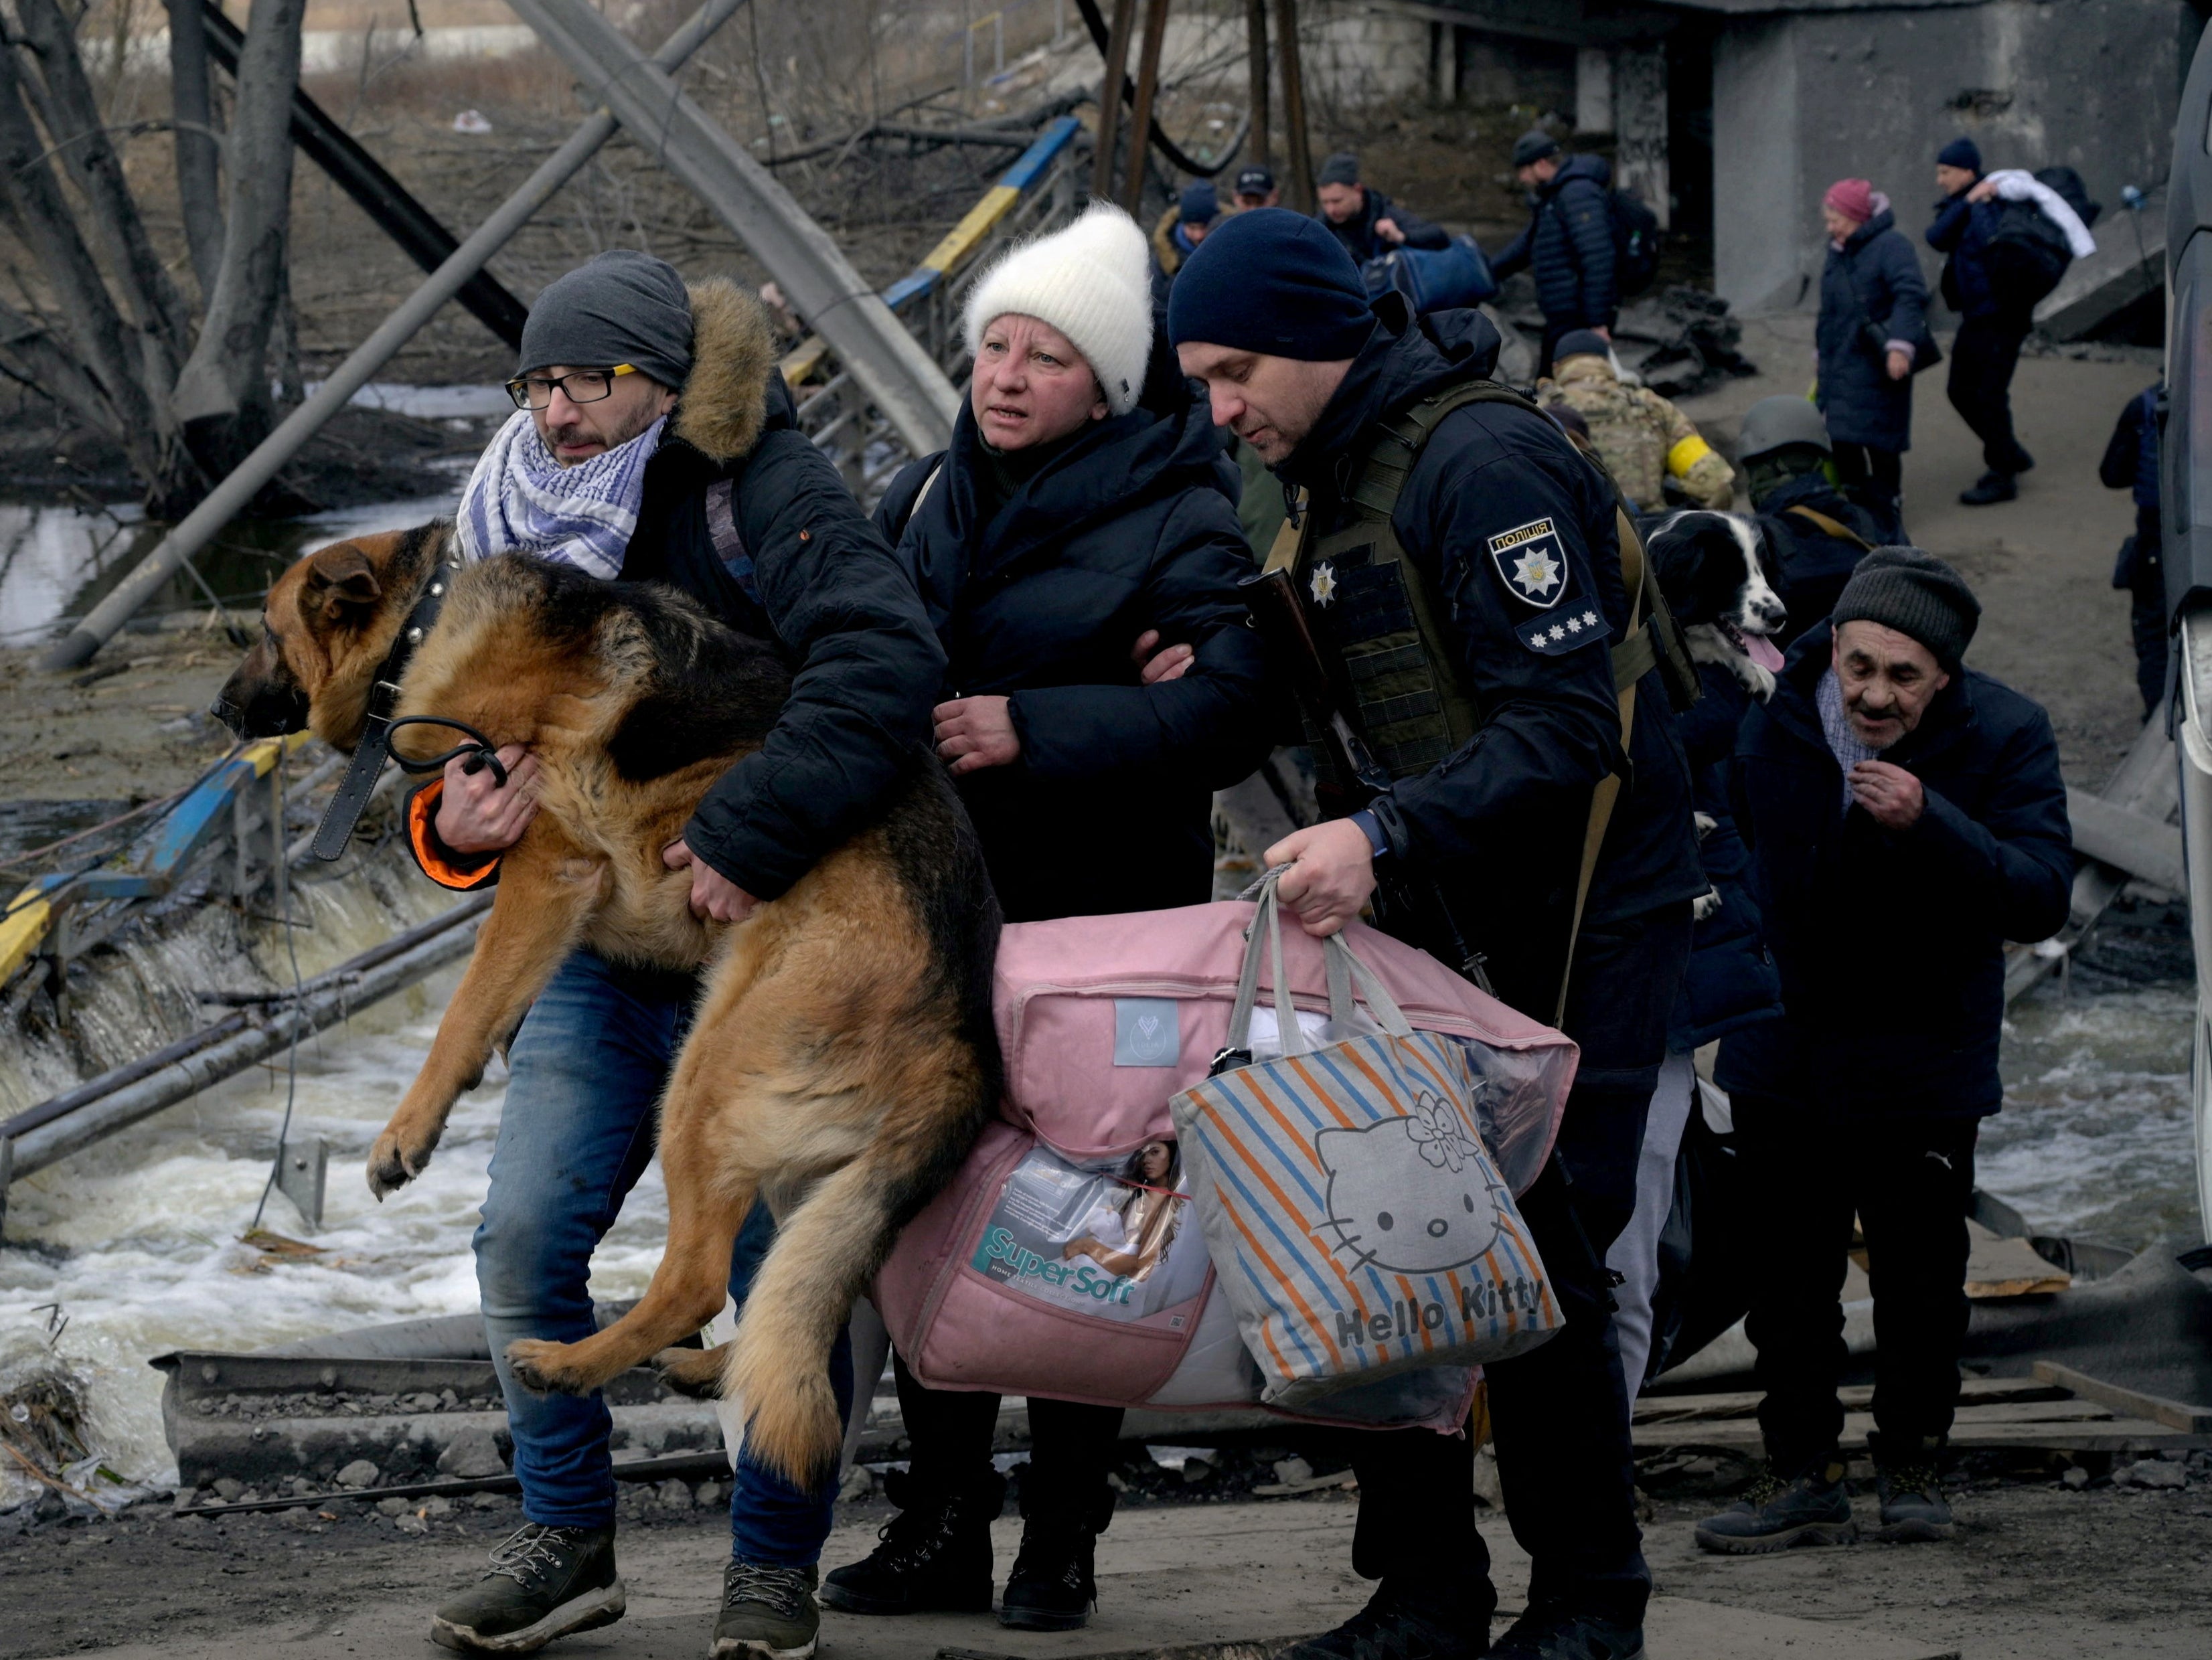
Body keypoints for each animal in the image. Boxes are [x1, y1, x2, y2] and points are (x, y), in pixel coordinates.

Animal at [213, 521, 995, 1476]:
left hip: (703, 1078)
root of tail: (962, 1035)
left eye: (263, 630)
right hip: (793, 1160)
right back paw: (713, 1367)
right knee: (806, 1297)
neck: (426, 613)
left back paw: (569, 1362)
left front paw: (408, 1129)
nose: (218, 710)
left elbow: (463, 1008)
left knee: (700, 1280)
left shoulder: (545, 866)